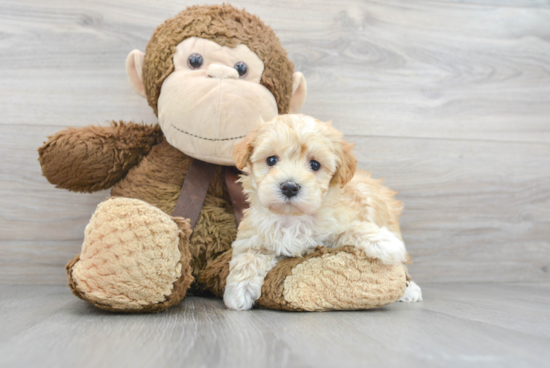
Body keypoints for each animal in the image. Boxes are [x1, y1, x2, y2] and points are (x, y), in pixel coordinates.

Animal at [223, 115, 422, 310]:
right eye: (271, 160)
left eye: (315, 164)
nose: (289, 187)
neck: (292, 218)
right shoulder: (253, 239)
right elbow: (247, 258)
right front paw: (238, 292)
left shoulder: (339, 222)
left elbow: (354, 229)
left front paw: (386, 243)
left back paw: (409, 289)